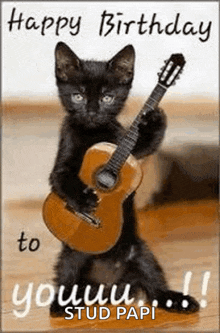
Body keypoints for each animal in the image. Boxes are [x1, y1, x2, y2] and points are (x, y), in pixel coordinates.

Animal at [49, 42, 199, 316]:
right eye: (78, 96)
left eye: (107, 98)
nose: (92, 113)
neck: (94, 132)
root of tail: (107, 288)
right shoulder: (62, 161)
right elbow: (62, 179)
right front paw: (85, 201)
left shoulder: (131, 152)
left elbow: (149, 142)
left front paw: (152, 117)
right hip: (71, 257)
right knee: (67, 278)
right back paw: (61, 304)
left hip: (141, 253)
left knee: (156, 289)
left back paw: (178, 300)